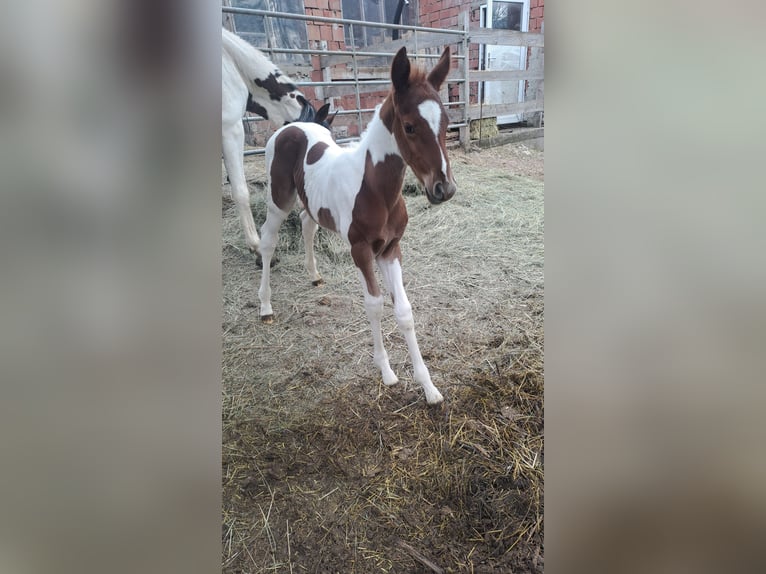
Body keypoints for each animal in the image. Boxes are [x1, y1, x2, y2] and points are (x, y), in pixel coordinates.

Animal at [260, 47, 460, 408]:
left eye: (447, 122)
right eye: (409, 126)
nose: (444, 188)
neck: (376, 188)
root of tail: (292, 126)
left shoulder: (391, 249)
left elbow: (404, 311)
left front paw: (429, 387)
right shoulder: (361, 249)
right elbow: (375, 304)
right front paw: (387, 372)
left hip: (311, 202)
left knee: (307, 223)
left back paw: (314, 275)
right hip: (279, 199)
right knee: (268, 240)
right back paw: (265, 305)